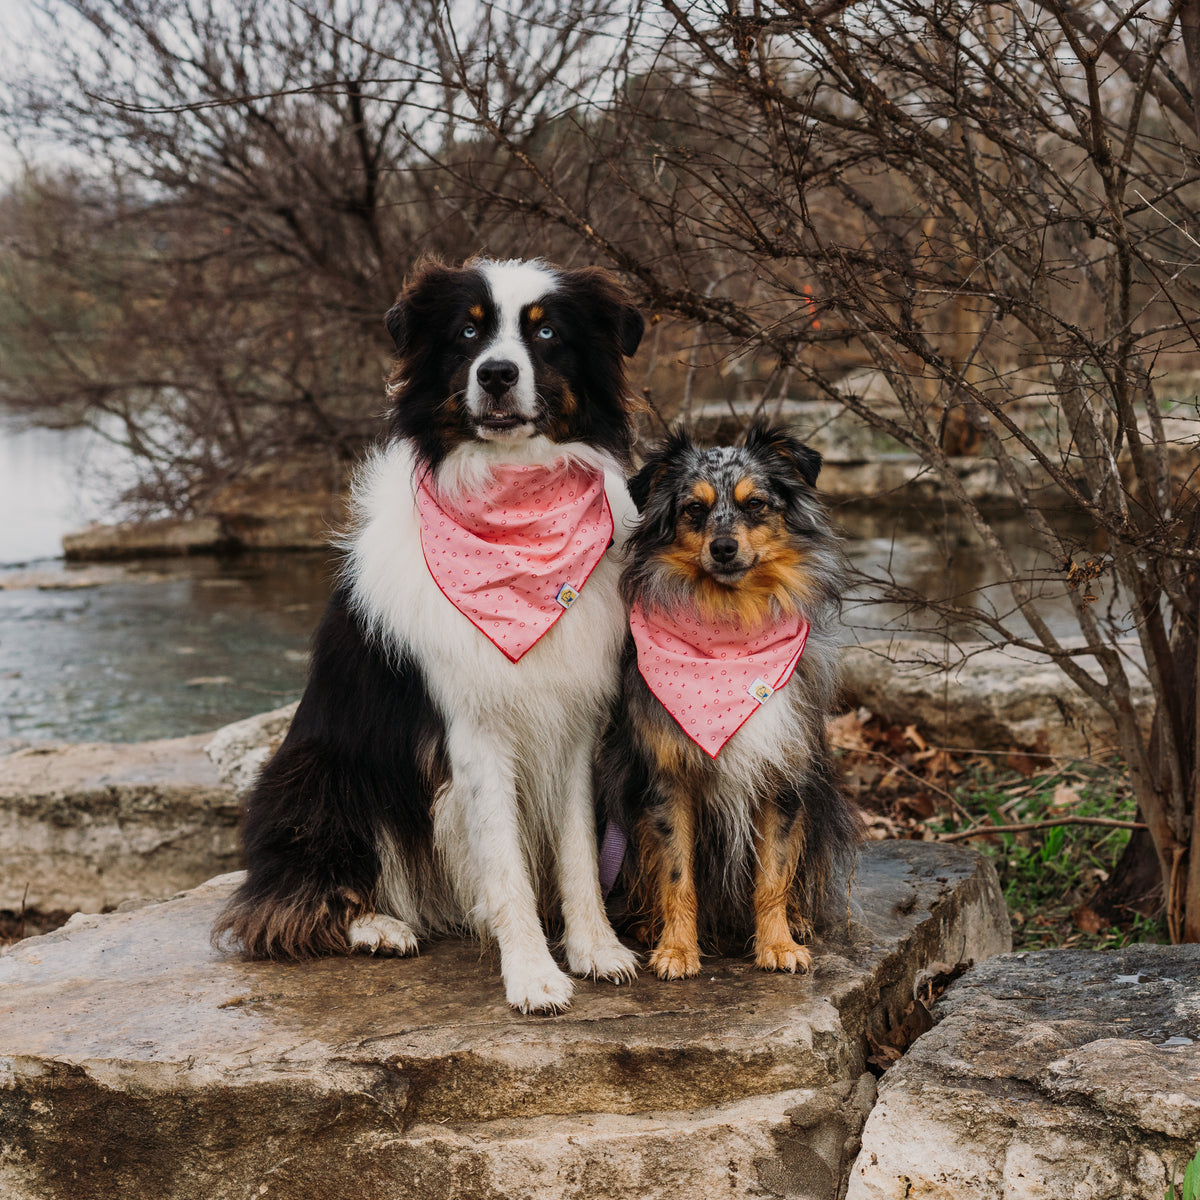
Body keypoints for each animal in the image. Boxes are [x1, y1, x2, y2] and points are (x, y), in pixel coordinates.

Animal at [216, 255, 648, 1012]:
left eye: (547, 333)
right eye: (467, 332)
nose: (496, 374)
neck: (513, 502)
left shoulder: (571, 721)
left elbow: (576, 848)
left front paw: (596, 948)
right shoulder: (472, 728)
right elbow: (505, 861)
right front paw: (532, 974)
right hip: (317, 772)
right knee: (283, 902)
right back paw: (376, 925)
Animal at [600, 422, 864, 974]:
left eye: (755, 504)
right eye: (693, 509)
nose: (723, 548)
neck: (729, 632)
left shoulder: (782, 776)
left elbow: (773, 873)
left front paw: (778, 944)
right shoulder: (667, 779)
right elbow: (677, 873)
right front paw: (677, 949)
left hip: (822, 804)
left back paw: (799, 922)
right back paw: (648, 926)